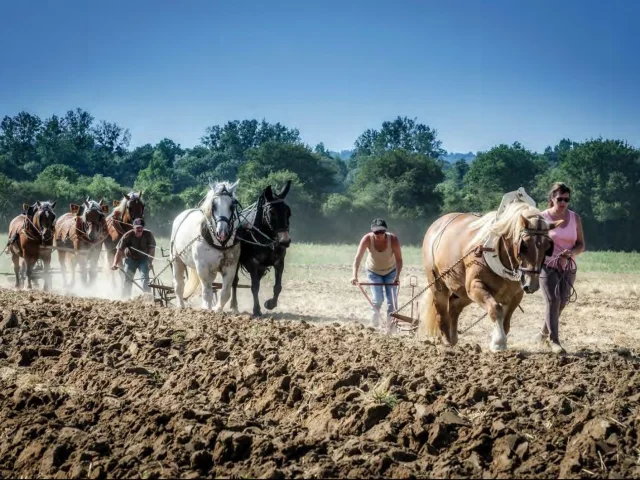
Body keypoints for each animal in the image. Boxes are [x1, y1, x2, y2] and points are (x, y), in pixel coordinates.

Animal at [170, 180, 240, 312]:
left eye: (232, 206)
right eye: (214, 206)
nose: (222, 233)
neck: (220, 244)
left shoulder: (230, 266)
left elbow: (225, 292)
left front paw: (217, 309)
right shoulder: (202, 267)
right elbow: (207, 290)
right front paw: (207, 309)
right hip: (176, 259)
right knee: (178, 284)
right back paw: (181, 306)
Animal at [230, 180, 292, 316]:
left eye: (288, 212)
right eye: (271, 212)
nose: (285, 241)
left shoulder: (279, 262)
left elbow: (278, 287)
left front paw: (270, 304)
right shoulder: (253, 262)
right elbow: (255, 286)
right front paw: (256, 310)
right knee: (234, 281)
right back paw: (234, 306)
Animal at [420, 202, 560, 352]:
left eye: (547, 247)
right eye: (524, 245)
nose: (531, 284)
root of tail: (437, 224)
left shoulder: (516, 294)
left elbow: (506, 321)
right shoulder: (475, 285)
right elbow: (495, 309)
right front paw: (498, 343)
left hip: (463, 291)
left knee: (454, 306)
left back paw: (453, 338)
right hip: (439, 284)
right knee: (441, 310)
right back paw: (447, 340)